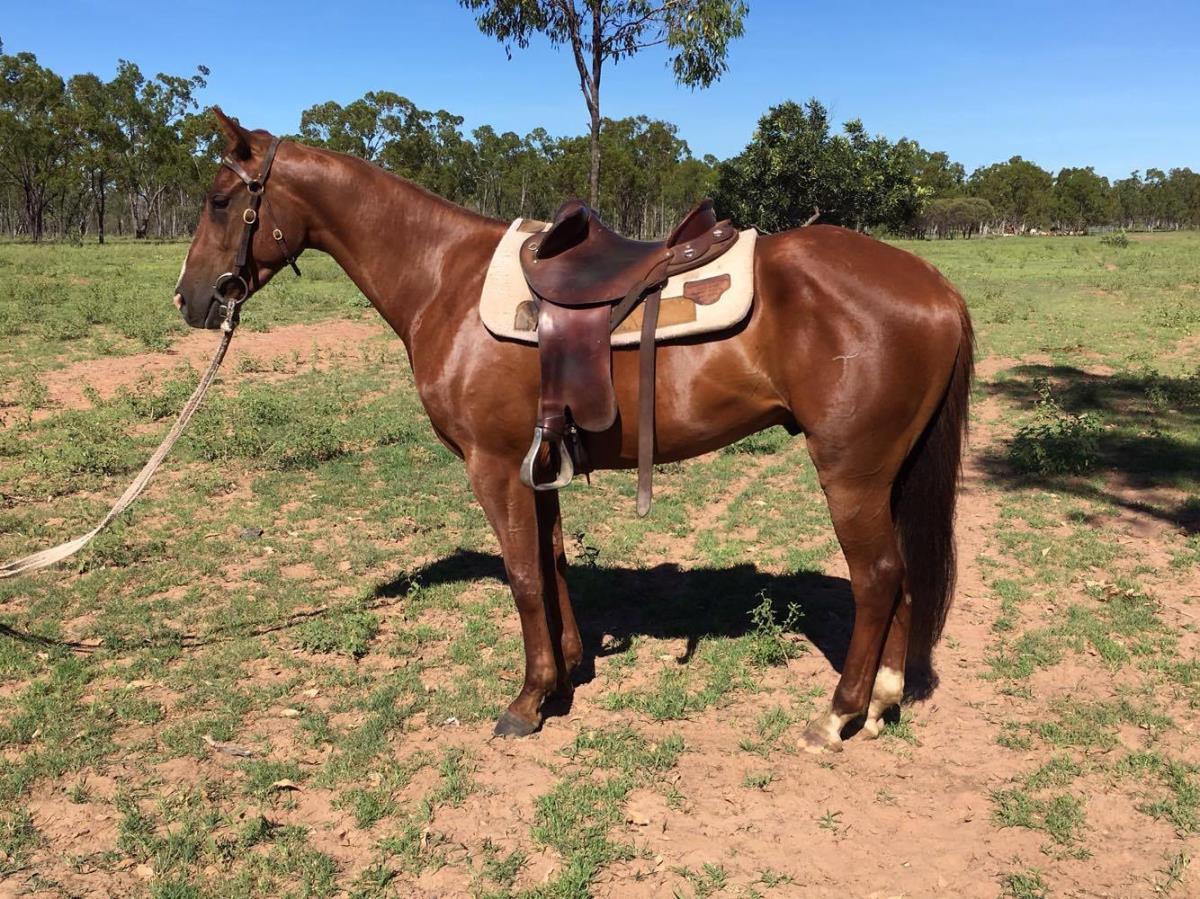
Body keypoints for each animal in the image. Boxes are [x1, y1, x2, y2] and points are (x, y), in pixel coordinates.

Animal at [173, 109, 973, 753]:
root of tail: (935, 286)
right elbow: (552, 561)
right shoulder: (537, 463)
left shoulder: (492, 465)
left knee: (879, 577)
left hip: (851, 473)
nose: (189, 298)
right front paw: (564, 675)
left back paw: (837, 715)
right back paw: (883, 701)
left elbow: (524, 576)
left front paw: (527, 701)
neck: (444, 279)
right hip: (888, 475)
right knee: (900, 578)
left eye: (220, 201)